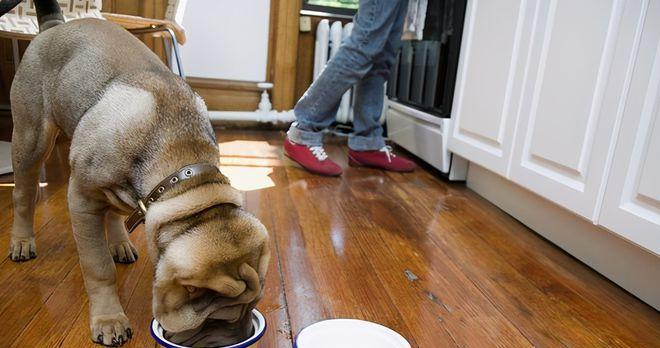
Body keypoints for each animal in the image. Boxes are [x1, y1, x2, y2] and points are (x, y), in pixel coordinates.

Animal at [5, 0, 268, 346]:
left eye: (254, 304)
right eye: (219, 318)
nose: (243, 335)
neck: (182, 174)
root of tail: (54, 25)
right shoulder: (81, 199)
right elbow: (98, 267)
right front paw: (109, 320)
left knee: (113, 213)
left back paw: (120, 244)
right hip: (31, 138)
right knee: (23, 194)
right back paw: (22, 242)